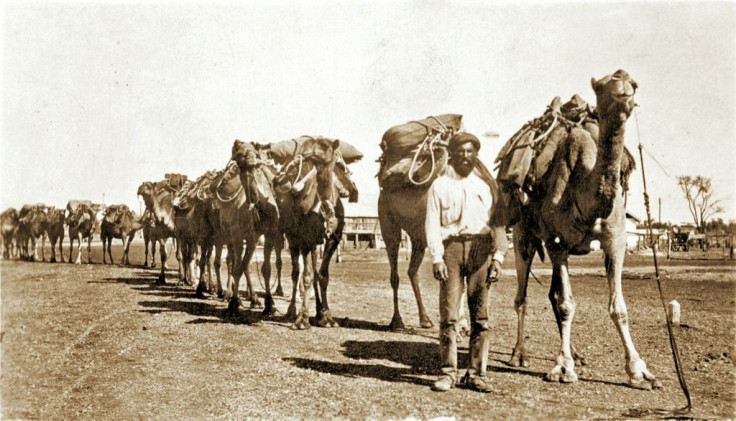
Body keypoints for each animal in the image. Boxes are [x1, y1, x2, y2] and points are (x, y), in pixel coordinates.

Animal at [272, 136, 350, 326]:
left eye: (324, 146)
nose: (304, 153)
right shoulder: (306, 239)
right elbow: (306, 276)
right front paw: (302, 319)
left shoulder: (333, 238)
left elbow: (322, 275)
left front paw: (327, 316)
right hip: (292, 238)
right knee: (296, 272)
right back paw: (292, 311)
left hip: (315, 242)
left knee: (313, 271)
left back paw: (319, 311)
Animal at [508, 69, 660, 388]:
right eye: (601, 86)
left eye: (634, 83)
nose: (622, 81)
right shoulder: (557, 241)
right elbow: (566, 304)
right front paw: (562, 369)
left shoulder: (616, 240)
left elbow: (618, 308)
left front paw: (639, 371)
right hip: (523, 234)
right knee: (522, 296)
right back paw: (519, 354)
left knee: (551, 295)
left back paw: (576, 354)